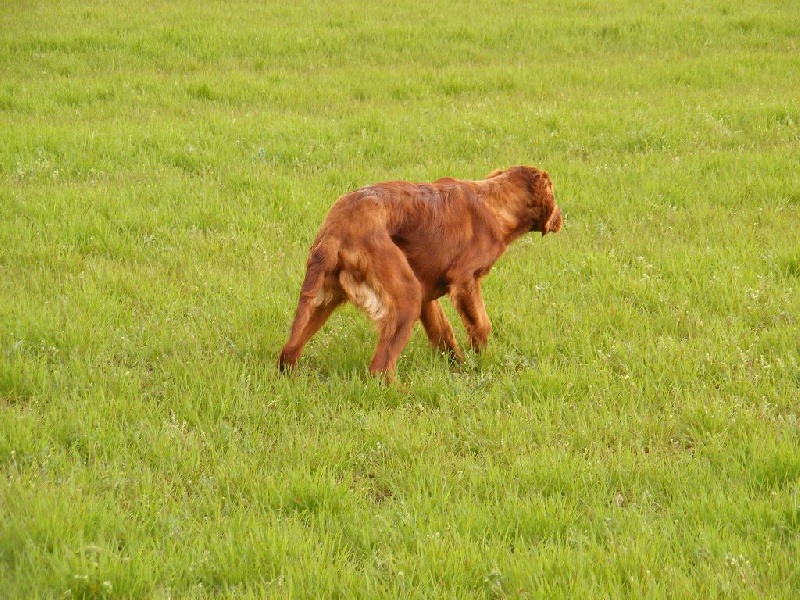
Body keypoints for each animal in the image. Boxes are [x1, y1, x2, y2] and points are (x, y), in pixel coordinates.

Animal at [280, 165, 564, 380]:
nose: (562, 218)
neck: (493, 202)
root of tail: (335, 230)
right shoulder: (464, 280)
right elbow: (481, 325)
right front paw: (480, 361)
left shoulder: (426, 293)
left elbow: (443, 331)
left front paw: (458, 366)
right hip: (405, 298)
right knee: (379, 369)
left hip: (322, 300)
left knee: (287, 353)